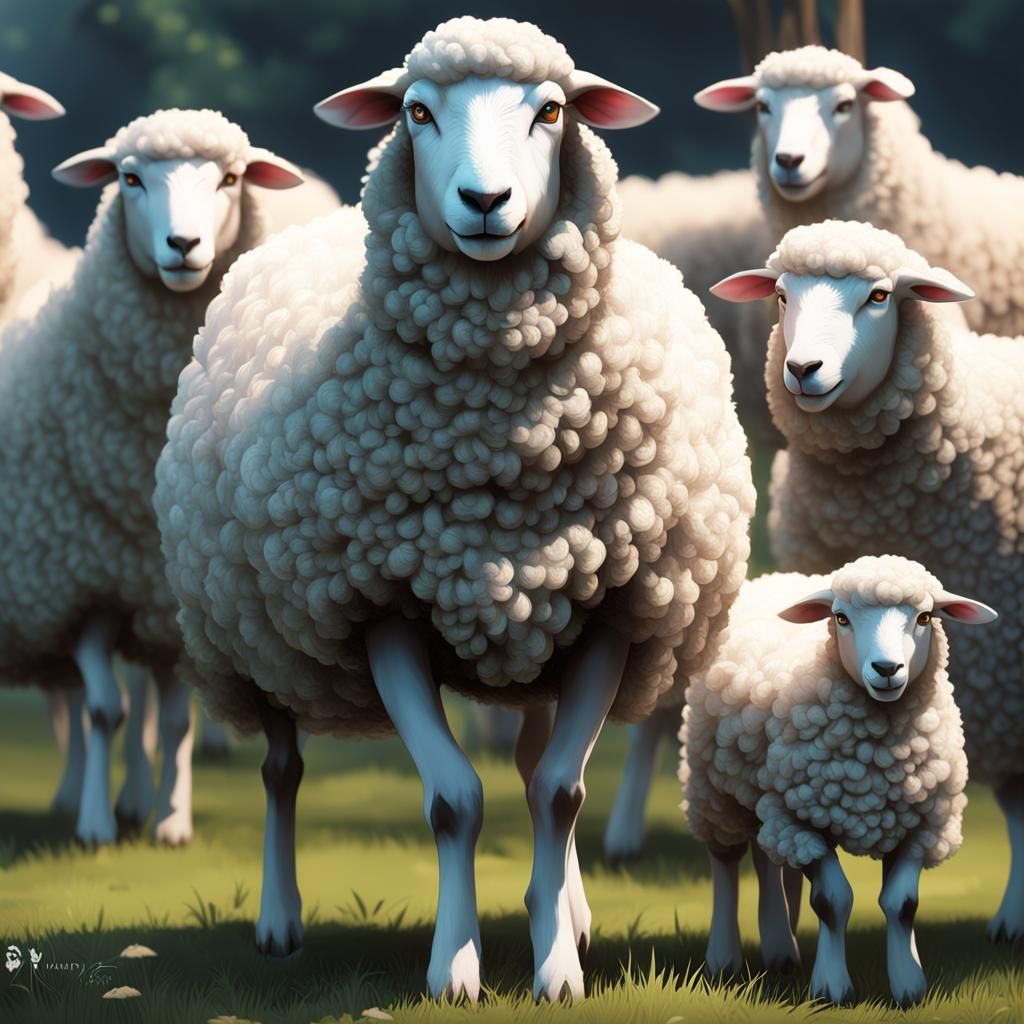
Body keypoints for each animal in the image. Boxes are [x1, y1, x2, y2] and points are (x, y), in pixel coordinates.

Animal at [0, 107, 307, 849]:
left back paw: (137, 796)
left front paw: (171, 820)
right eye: (129, 178)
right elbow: (101, 710)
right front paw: (93, 825)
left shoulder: (169, 606)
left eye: (231, 179)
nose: (183, 244)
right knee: (74, 702)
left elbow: (169, 720)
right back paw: (75, 796)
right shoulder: (81, 586)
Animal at [153, 15, 755, 1002]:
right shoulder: (378, 606)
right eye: (418, 112)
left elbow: (559, 792)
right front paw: (455, 968)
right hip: (255, 633)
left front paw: (557, 968)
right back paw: (279, 923)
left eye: (552, 111)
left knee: (538, 766)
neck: (498, 449)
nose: (485, 200)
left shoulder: (613, 611)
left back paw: (569, 912)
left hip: (541, 628)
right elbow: (452, 801)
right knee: (282, 769)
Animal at [681, 555, 995, 1005]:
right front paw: (831, 987)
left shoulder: (922, 826)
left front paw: (909, 986)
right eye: (841, 618)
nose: (886, 669)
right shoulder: (802, 823)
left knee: (768, 860)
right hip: (716, 791)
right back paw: (723, 958)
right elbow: (832, 901)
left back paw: (781, 949)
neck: (875, 755)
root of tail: (776, 576)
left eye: (924, 617)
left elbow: (903, 903)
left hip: (767, 798)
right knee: (726, 862)